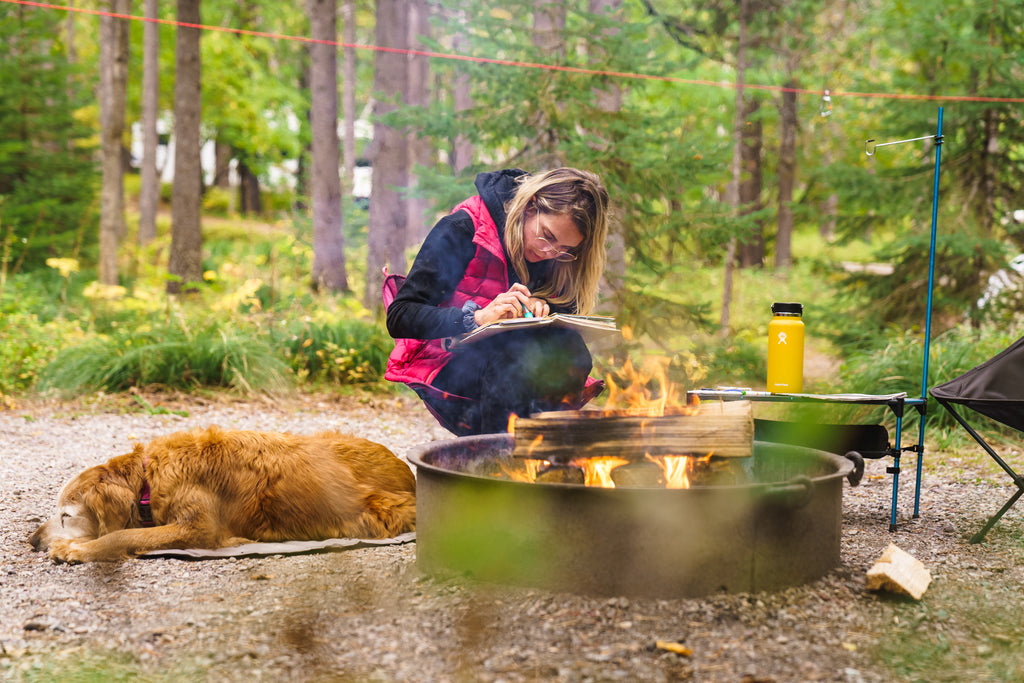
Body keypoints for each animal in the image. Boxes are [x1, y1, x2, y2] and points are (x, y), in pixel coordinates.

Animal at [32, 428, 415, 565]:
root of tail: (406, 469)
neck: (147, 480)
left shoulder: (199, 529)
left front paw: (75, 549)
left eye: (66, 515)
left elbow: (122, 535)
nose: (32, 540)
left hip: (382, 512)